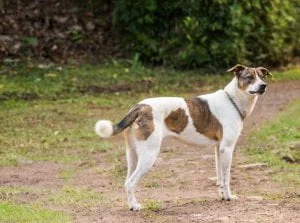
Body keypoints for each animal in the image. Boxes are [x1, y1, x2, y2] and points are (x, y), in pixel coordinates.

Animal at [95, 64, 272, 211]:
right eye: (249, 77)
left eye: (262, 77)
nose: (263, 86)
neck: (233, 100)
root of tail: (140, 106)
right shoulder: (227, 148)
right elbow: (227, 177)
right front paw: (228, 197)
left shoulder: (218, 149)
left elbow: (220, 178)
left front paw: (222, 196)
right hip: (149, 155)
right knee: (131, 182)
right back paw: (135, 207)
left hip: (132, 155)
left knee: (126, 181)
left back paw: (130, 205)